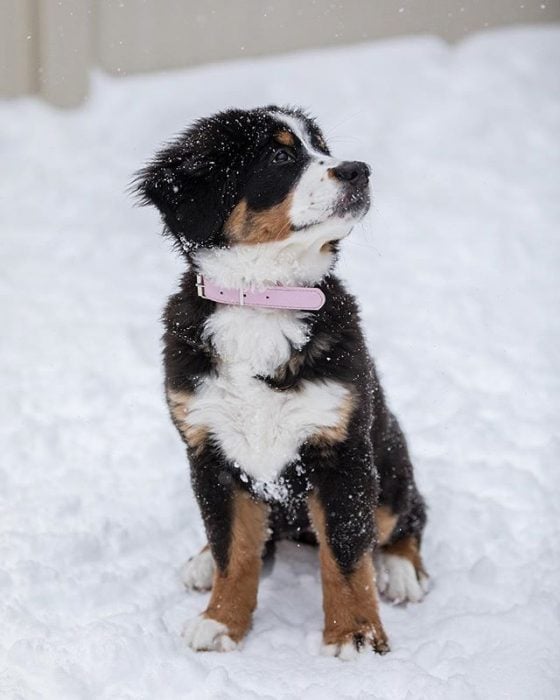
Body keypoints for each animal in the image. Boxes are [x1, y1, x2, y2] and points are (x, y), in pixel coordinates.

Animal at [137, 106, 428, 660]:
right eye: (279, 156)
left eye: (323, 148)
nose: (358, 170)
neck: (262, 300)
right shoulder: (209, 452)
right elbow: (234, 550)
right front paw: (221, 621)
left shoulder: (342, 451)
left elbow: (346, 555)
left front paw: (355, 633)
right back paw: (200, 560)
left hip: (388, 457)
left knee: (405, 517)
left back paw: (403, 571)